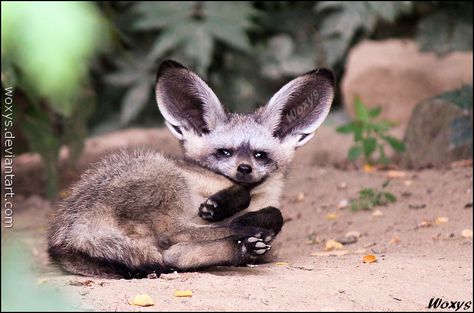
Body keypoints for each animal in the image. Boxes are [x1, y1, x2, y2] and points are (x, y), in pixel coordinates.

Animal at [48, 59, 336, 278]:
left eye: (260, 155)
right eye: (225, 152)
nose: (244, 169)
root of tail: (69, 234)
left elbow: (274, 213)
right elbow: (256, 206)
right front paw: (224, 208)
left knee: (173, 258)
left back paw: (242, 245)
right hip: (164, 173)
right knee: (174, 237)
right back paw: (242, 231)